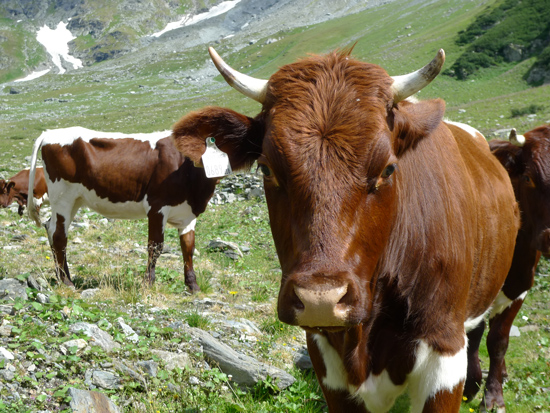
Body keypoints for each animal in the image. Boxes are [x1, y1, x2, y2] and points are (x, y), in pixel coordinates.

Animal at [27, 127, 251, 292]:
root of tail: (50, 133)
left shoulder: (188, 214)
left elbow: (188, 246)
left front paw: (192, 285)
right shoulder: (157, 207)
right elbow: (155, 246)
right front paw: (148, 284)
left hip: (74, 200)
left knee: (53, 229)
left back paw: (63, 276)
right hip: (63, 196)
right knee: (58, 235)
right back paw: (67, 282)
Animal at [171, 46, 520, 410]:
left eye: (388, 168)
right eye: (266, 168)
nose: (320, 300)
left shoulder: (443, 350)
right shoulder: (326, 358)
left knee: (497, 337)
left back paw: (491, 395)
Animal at [464, 127, 550, 410]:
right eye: (528, 177)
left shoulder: (520, 287)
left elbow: (498, 341)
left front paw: (493, 396)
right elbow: (476, 337)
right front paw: (471, 383)